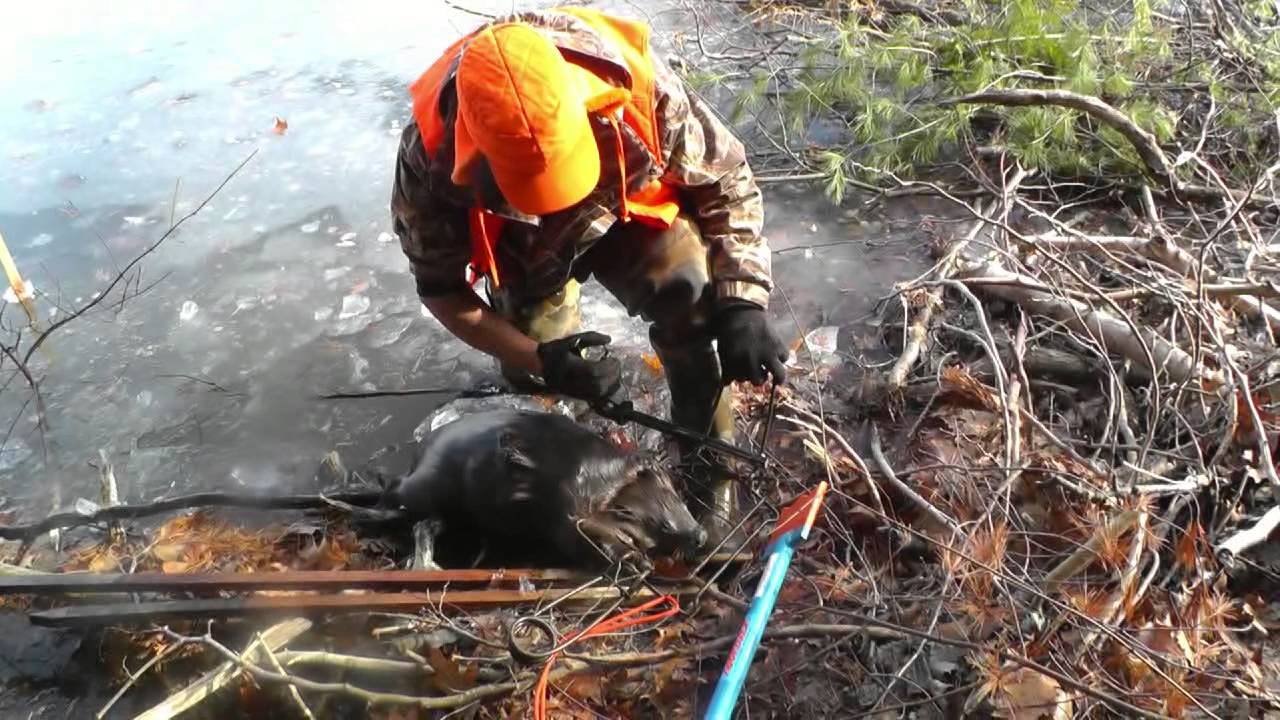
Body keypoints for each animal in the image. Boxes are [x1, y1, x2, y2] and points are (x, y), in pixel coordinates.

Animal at [380, 409, 707, 569]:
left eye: (682, 504)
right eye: (664, 525)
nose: (699, 535)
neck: (599, 476)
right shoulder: (567, 503)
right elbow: (581, 535)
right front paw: (635, 560)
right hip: (426, 485)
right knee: (398, 493)